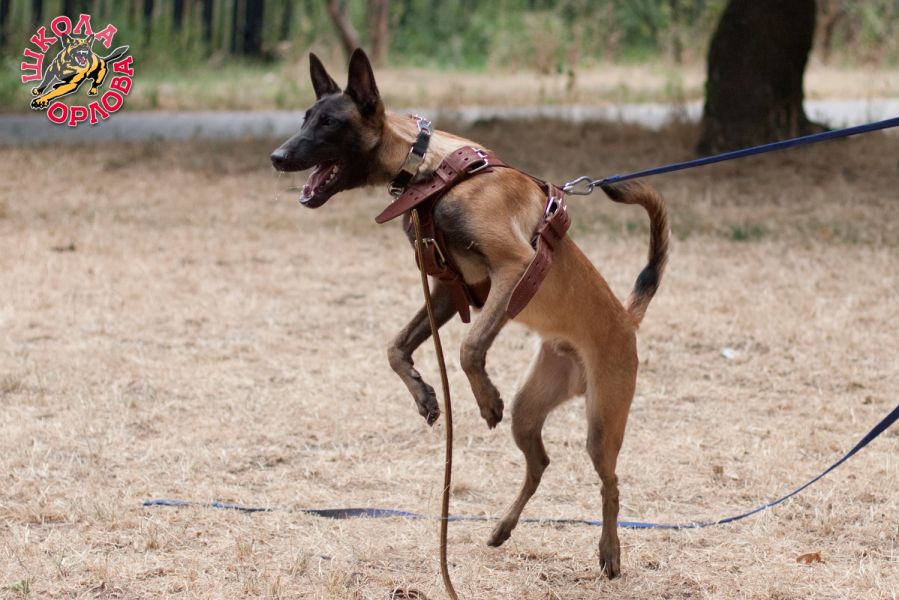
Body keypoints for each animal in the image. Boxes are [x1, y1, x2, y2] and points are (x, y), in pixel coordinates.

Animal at [271, 49, 669, 578]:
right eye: (305, 118)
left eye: (330, 123)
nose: (277, 157)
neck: (431, 170)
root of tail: (626, 318)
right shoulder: (446, 289)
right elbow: (396, 347)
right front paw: (424, 394)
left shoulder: (514, 268)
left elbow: (469, 345)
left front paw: (483, 399)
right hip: (531, 409)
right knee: (540, 464)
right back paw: (503, 527)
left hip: (602, 423)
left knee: (611, 483)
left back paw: (609, 551)